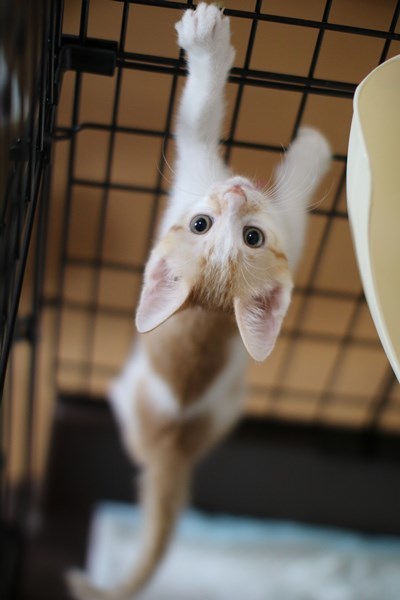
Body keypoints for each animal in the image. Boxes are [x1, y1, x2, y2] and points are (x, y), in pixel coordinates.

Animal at [67, 3, 331, 599]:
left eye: (251, 237)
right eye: (200, 224)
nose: (234, 192)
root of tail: (173, 446)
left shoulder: (272, 221)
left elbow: (202, 112)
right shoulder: (202, 183)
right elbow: (200, 116)